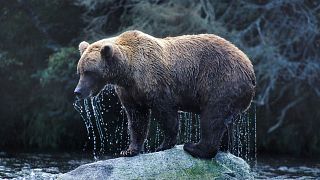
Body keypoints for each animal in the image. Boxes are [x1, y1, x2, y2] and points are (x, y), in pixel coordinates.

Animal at [73, 30, 255, 158]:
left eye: (89, 72)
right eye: (79, 71)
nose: (78, 91)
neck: (128, 72)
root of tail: (249, 66)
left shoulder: (156, 83)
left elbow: (166, 114)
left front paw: (162, 145)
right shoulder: (130, 91)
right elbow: (136, 119)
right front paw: (129, 150)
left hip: (221, 81)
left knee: (212, 117)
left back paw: (194, 147)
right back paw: (223, 147)